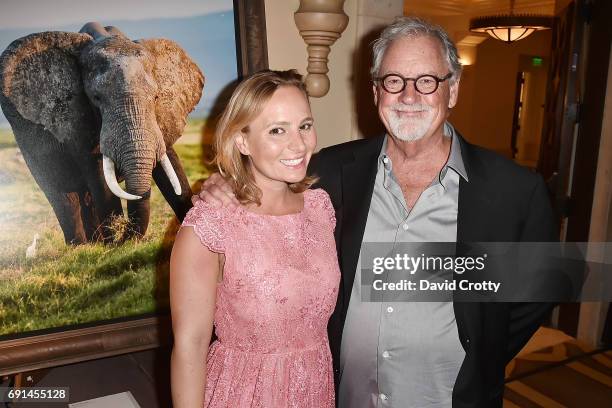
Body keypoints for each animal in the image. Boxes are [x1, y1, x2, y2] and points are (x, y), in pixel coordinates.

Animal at [0, 21, 206, 242]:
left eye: (156, 97)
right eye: (96, 98)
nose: (126, 235)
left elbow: (172, 165)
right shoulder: (75, 119)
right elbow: (97, 172)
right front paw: (115, 243)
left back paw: (95, 242)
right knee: (63, 195)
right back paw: (83, 245)